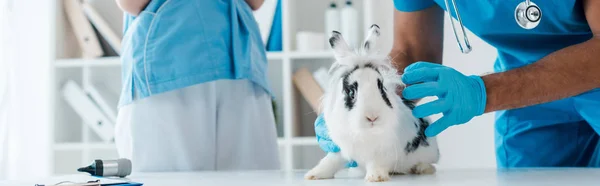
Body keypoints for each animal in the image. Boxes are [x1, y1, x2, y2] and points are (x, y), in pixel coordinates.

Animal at [304, 24, 440, 182]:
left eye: (381, 88)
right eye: (351, 93)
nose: (372, 117)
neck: (365, 133)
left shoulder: (381, 152)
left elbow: (376, 163)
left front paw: (376, 177)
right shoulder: (340, 148)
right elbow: (330, 161)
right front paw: (313, 175)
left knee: (430, 164)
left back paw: (421, 168)